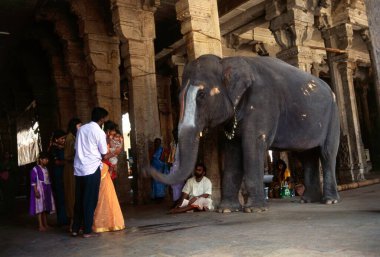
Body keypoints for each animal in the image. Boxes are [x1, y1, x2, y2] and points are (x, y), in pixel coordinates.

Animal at [151, 53, 342, 212]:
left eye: (202, 95)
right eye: (178, 97)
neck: (226, 61)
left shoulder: (263, 103)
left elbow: (253, 145)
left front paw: (254, 209)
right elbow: (232, 151)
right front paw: (227, 210)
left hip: (333, 116)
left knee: (326, 153)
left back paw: (329, 201)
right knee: (307, 155)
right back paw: (308, 200)